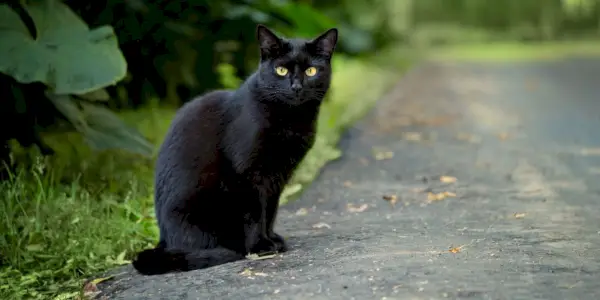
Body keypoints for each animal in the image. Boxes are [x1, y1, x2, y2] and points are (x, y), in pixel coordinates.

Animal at [132, 24, 338, 276]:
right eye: (280, 70)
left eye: (311, 71)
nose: (296, 86)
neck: (290, 119)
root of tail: (163, 240)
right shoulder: (247, 174)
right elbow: (255, 213)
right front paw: (261, 246)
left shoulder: (277, 177)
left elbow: (270, 211)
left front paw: (271, 238)